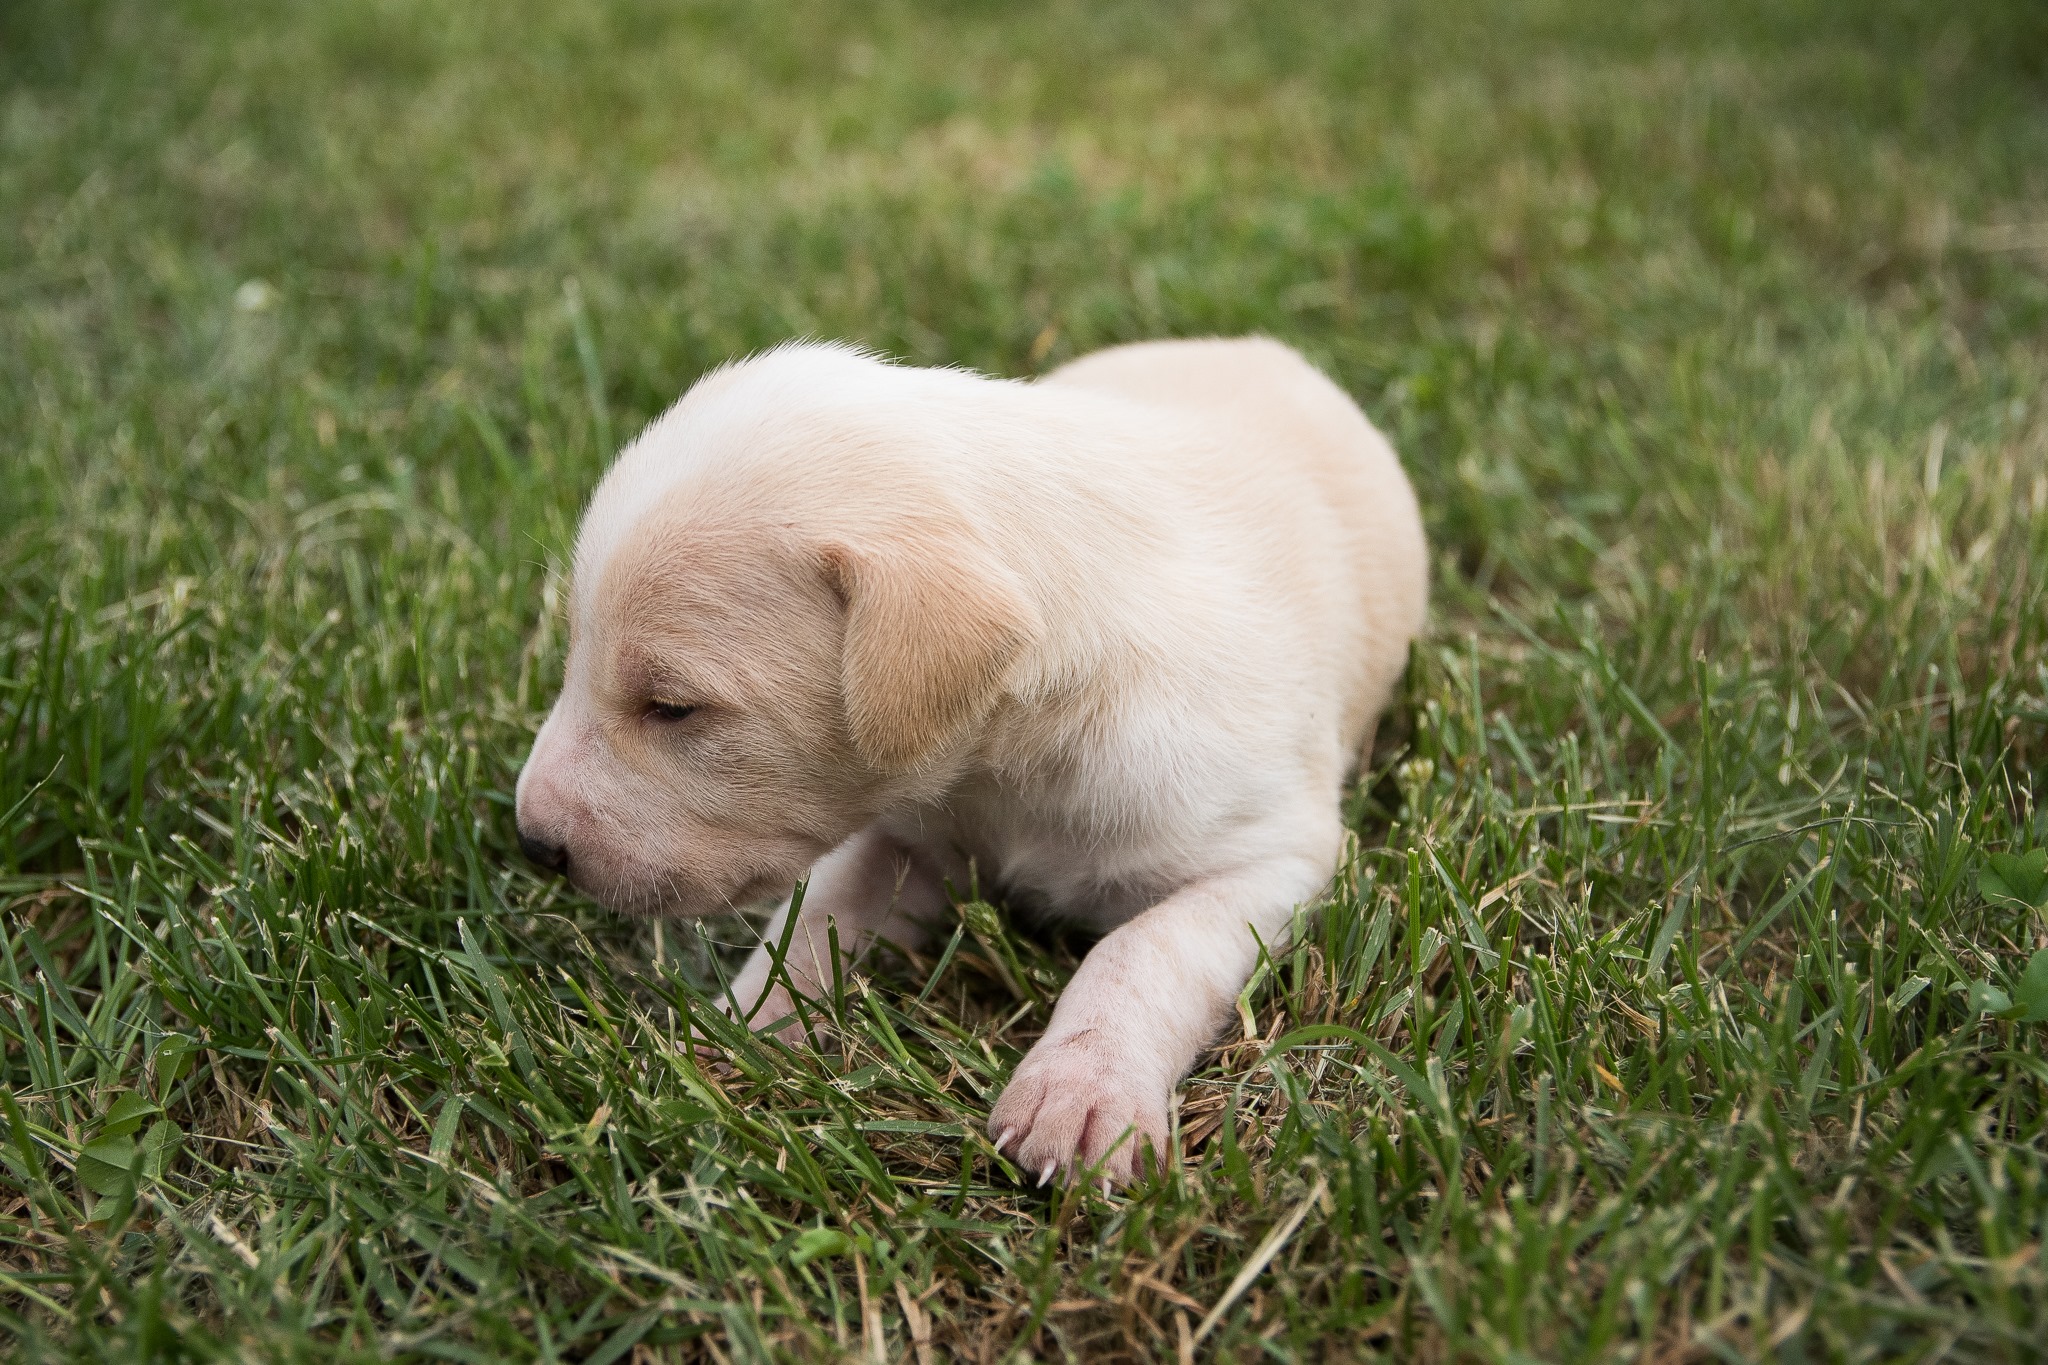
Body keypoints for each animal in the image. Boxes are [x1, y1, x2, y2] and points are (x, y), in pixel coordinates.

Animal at [515, 337, 1427, 1186]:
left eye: (673, 706)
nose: (533, 843)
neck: (1004, 770)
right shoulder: (897, 835)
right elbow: (812, 920)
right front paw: (741, 1031)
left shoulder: (1269, 858)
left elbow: (1142, 951)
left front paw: (1081, 1091)